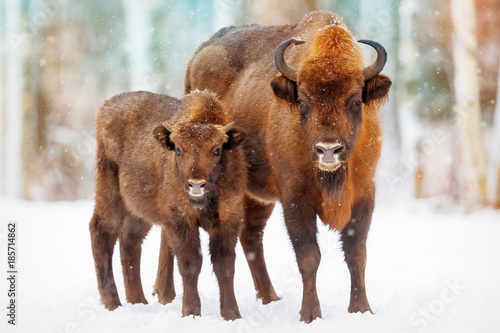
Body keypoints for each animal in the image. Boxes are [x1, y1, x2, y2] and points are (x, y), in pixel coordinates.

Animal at [90, 89, 248, 320]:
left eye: (217, 150)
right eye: (179, 150)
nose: (196, 184)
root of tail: (106, 106)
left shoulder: (229, 220)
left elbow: (225, 265)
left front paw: (232, 314)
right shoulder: (179, 220)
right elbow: (190, 263)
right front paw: (191, 312)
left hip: (139, 211)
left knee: (129, 242)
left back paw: (138, 301)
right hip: (110, 192)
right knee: (102, 232)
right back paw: (113, 303)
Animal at [186, 11, 392, 322]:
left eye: (356, 100)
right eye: (303, 101)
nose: (328, 149)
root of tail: (200, 53)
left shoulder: (365, 194)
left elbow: (356, 252)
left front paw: (361, 309)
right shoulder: (294, 198)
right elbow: (308, 255)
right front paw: (310, 314)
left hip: (256, 197)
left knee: (251, 237)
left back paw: (269, 297)